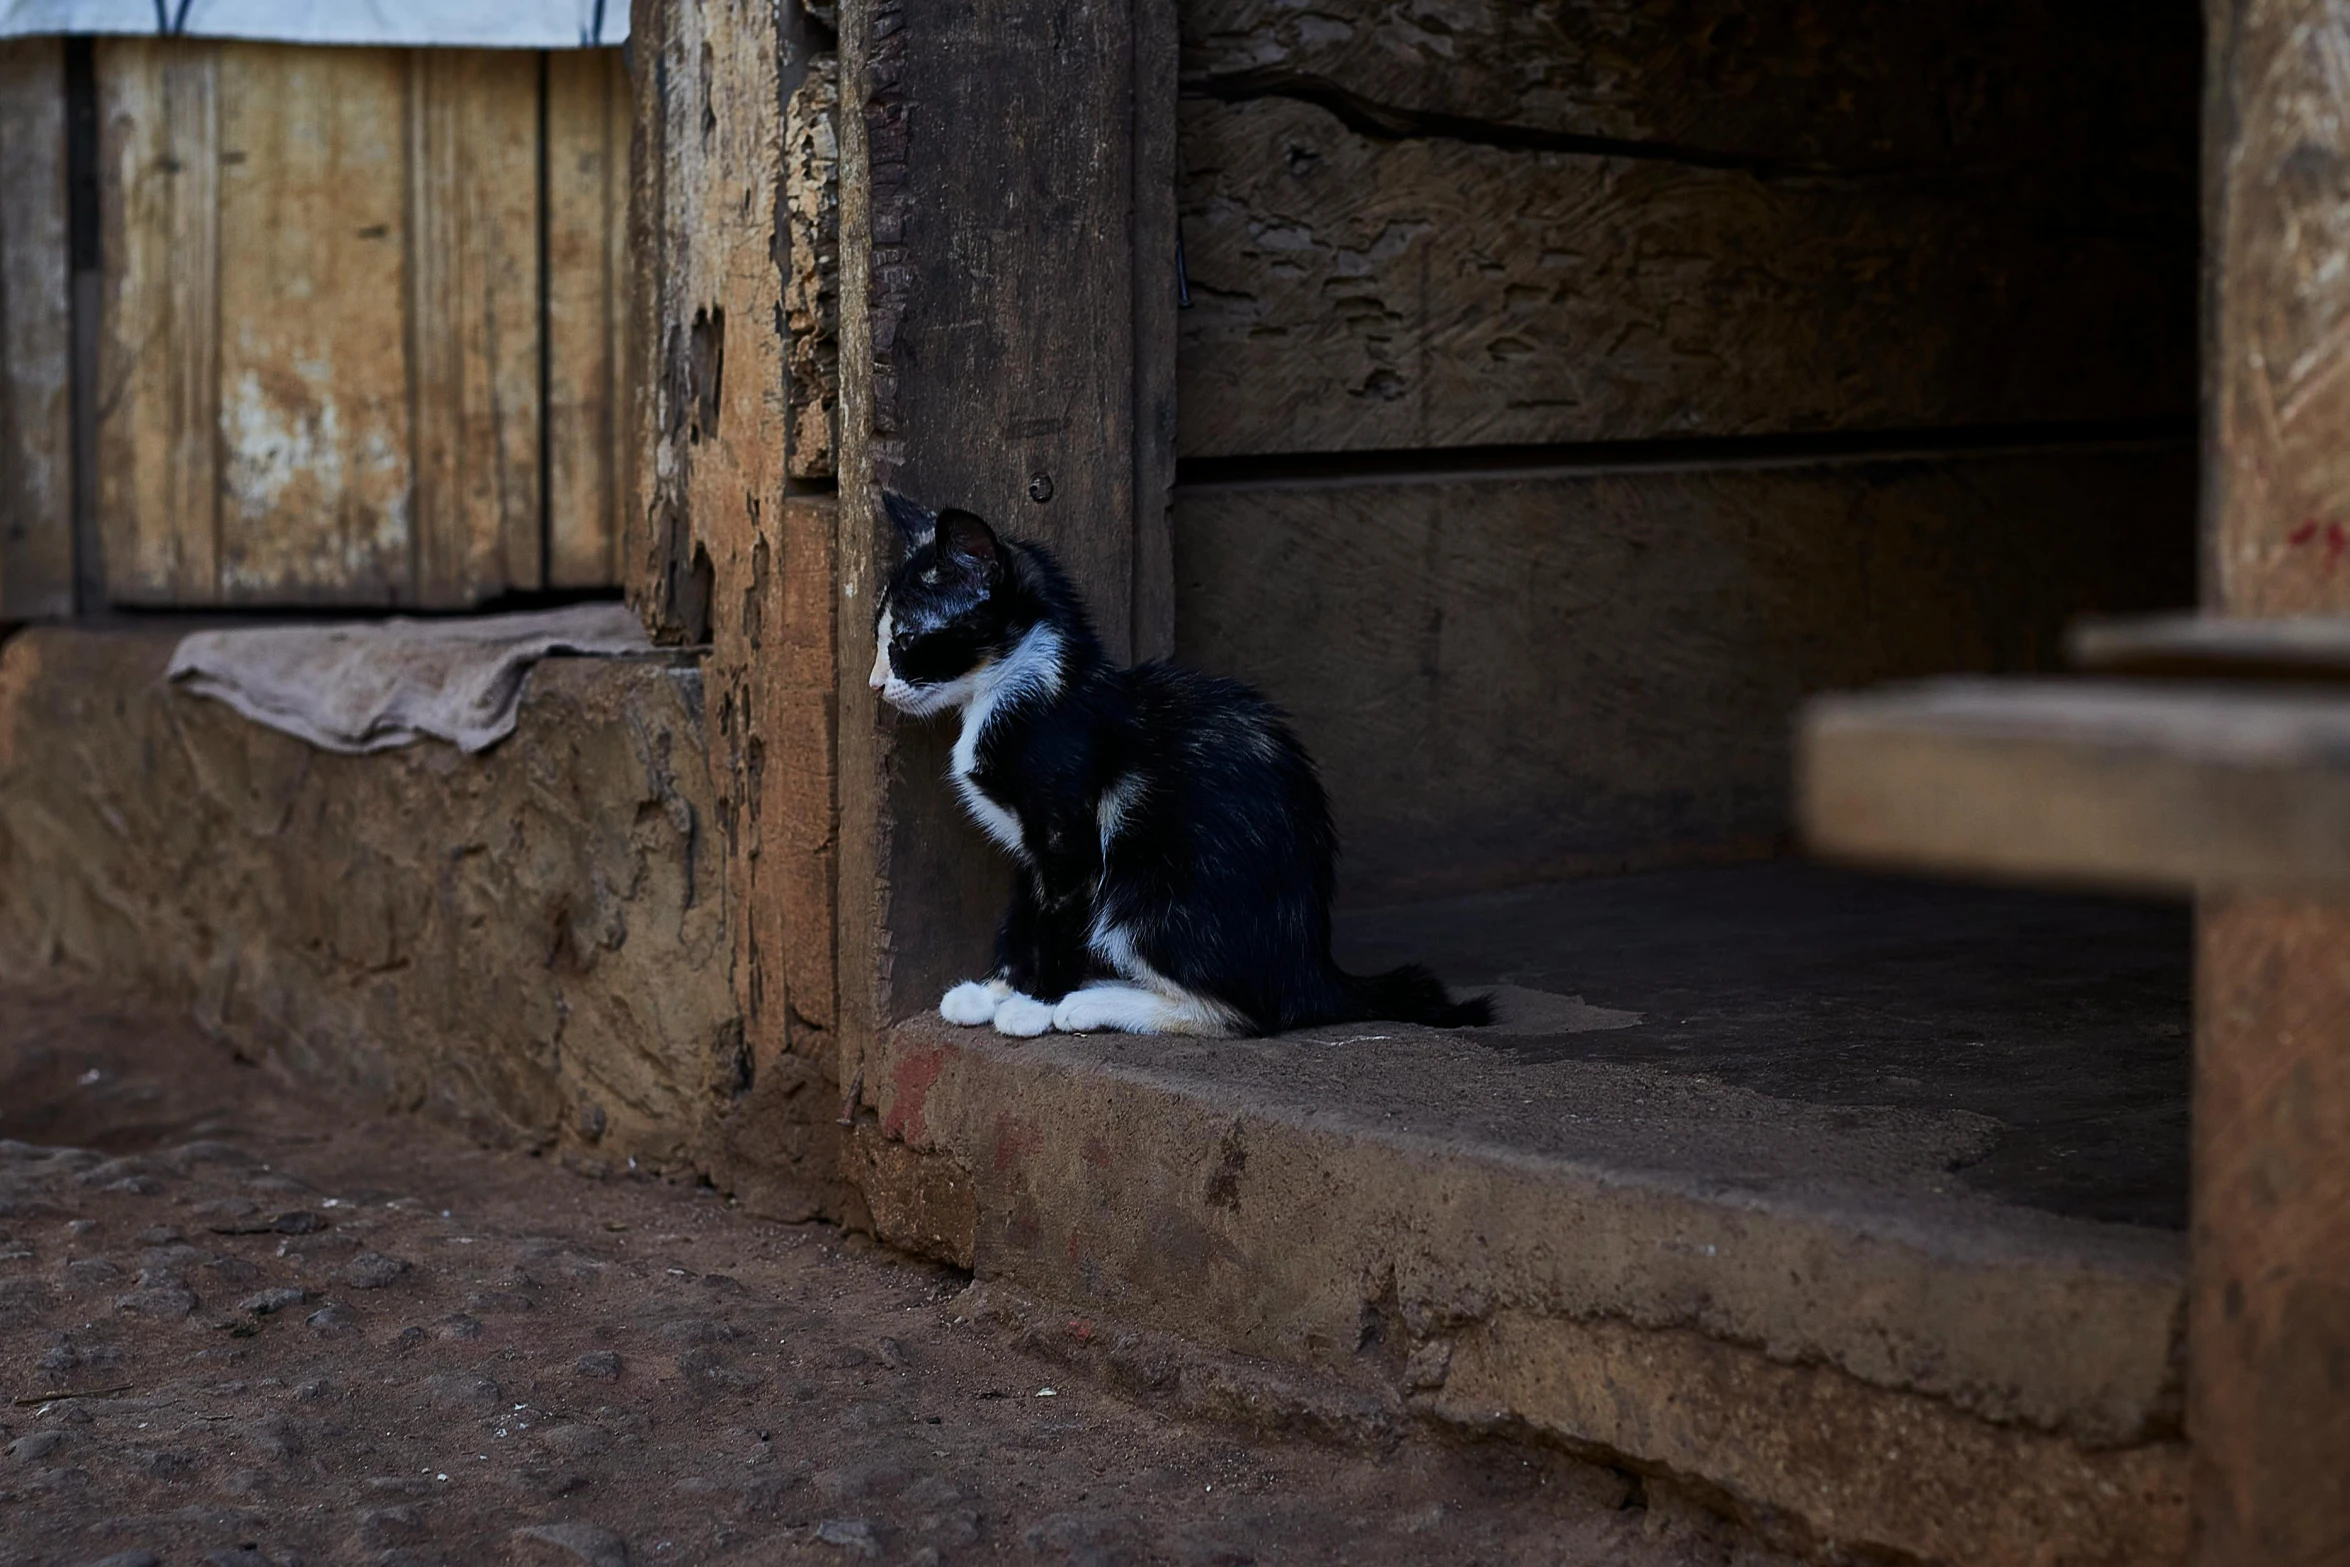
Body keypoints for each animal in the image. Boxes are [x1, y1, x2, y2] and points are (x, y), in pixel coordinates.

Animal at [864, 493, 1485, 1043]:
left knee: (1246, 1014)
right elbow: (1023, 914)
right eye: (879, 637)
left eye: (906, 640)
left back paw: (1090, 1002)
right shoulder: (1033, 851)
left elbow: (1057, 921)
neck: (1021, 686)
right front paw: (994, 991)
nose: (874, 685)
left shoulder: (1072, 837)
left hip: (1144, 889)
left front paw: (1033, 1004)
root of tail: (1313, 968)